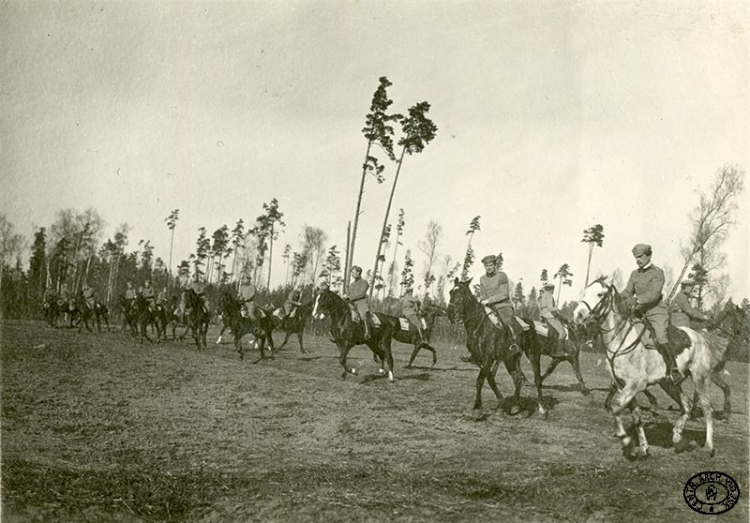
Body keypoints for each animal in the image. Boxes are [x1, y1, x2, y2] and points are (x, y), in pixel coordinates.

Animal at [446, 280, 548, 420]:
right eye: (450, 292)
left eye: (462, 292)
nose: (450, 312)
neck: (479, 326)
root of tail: (530, 323)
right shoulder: (480, 360)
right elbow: (490, 380)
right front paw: (500, 403)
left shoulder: (488, 359)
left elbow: (480, 381)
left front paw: (477, 409)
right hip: (510, 359)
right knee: (517, 380)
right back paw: (515, 405)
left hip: (533, 355)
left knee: (537, 380)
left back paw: (542, 410)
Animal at [580, 278, 720, 458]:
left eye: (599, 294)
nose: (579, 315)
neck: (621, 339)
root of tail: (700, 337)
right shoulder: (623, 385)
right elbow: (636, 417)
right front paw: (643, 448)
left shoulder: (634, 384)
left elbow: (616, 407)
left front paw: (626, 441)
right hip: (669, 383)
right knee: (687, 405)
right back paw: (677, 438)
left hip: (700, 378)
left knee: (708, 409)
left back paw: (708, 446)